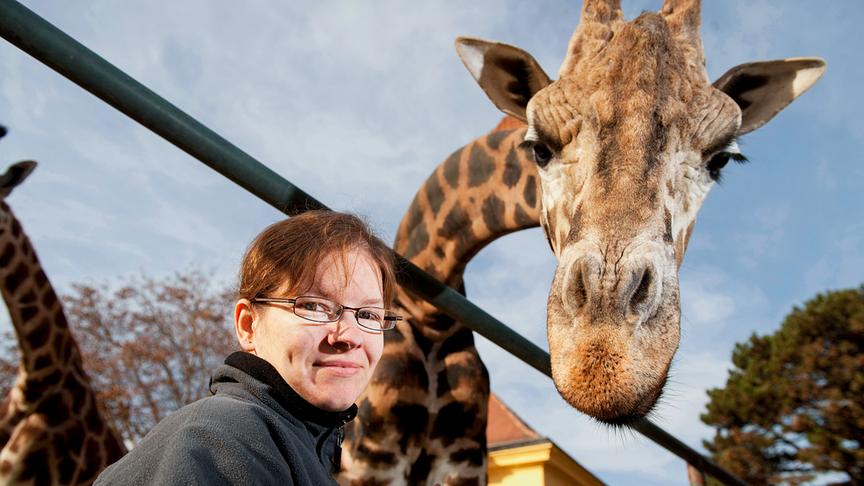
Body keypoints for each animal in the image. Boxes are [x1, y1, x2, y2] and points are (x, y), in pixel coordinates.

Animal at [341, 0, 824, 484]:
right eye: (539, 148)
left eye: (721, 160)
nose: (603, 359)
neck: (430, 320)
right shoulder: (369, 458)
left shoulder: (462, 460)